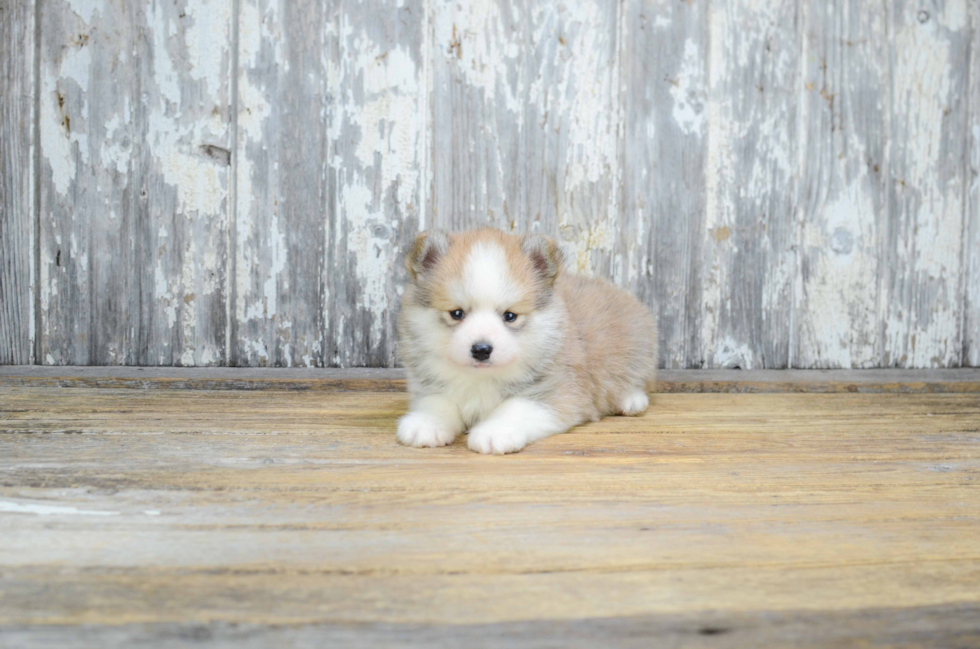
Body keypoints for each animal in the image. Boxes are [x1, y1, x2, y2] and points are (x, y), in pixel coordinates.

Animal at [396, 230, 660, 454]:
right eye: (457, 313)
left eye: (510, 316)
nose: (481, 349)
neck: (481, 378)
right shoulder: (429, 384)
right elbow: (436, 403)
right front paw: (426, 424)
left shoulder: (557, 392)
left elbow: (515, 408)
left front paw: (495, 432)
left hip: (638, 345)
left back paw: (631, 400)